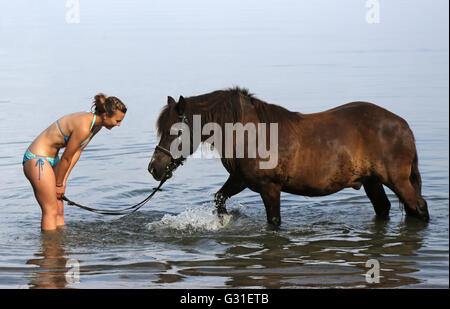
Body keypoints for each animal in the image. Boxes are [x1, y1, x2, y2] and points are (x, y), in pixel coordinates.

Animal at [148, 87, 428, 226]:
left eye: (175, 131)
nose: (154, 168)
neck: (249, 134)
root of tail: (403, 125)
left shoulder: (270, 188)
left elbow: (274, 222)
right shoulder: (240, 180)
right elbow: (219, 199)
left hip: (397, 181)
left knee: (419, 208)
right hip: (372, 182)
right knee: (384, 209)